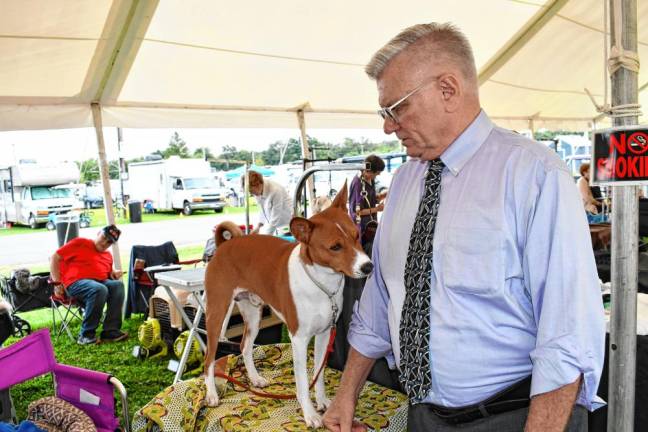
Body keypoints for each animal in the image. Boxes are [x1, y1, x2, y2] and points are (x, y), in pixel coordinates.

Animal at [205, 182, 372, 426]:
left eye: (356, 235)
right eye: (335, 247)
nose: (368, 266)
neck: (321, 284)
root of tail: (224, 245)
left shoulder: (324, 334)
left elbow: (318, 375)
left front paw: (323, 403)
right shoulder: (299, 339)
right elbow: (302, 382)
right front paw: (310, 414)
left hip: (253, 315)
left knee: (245, 346)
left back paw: (255, 379)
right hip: (217, 315)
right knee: (208, 358)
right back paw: (211, 394)